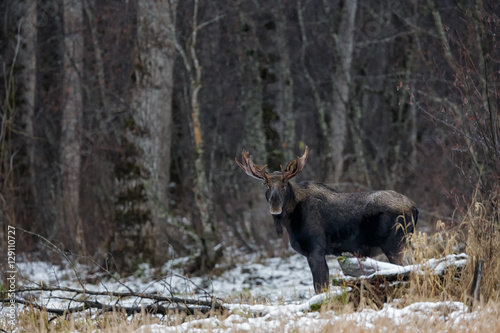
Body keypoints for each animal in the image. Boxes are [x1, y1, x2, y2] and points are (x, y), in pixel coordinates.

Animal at [234, 145, 418, 294]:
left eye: (284, 185)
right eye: (266, 185)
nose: (275, 207)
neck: (290, 222)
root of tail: (415, 208)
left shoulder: (315, 249)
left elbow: (320, 286)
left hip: (395, 244)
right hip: (406, 242)